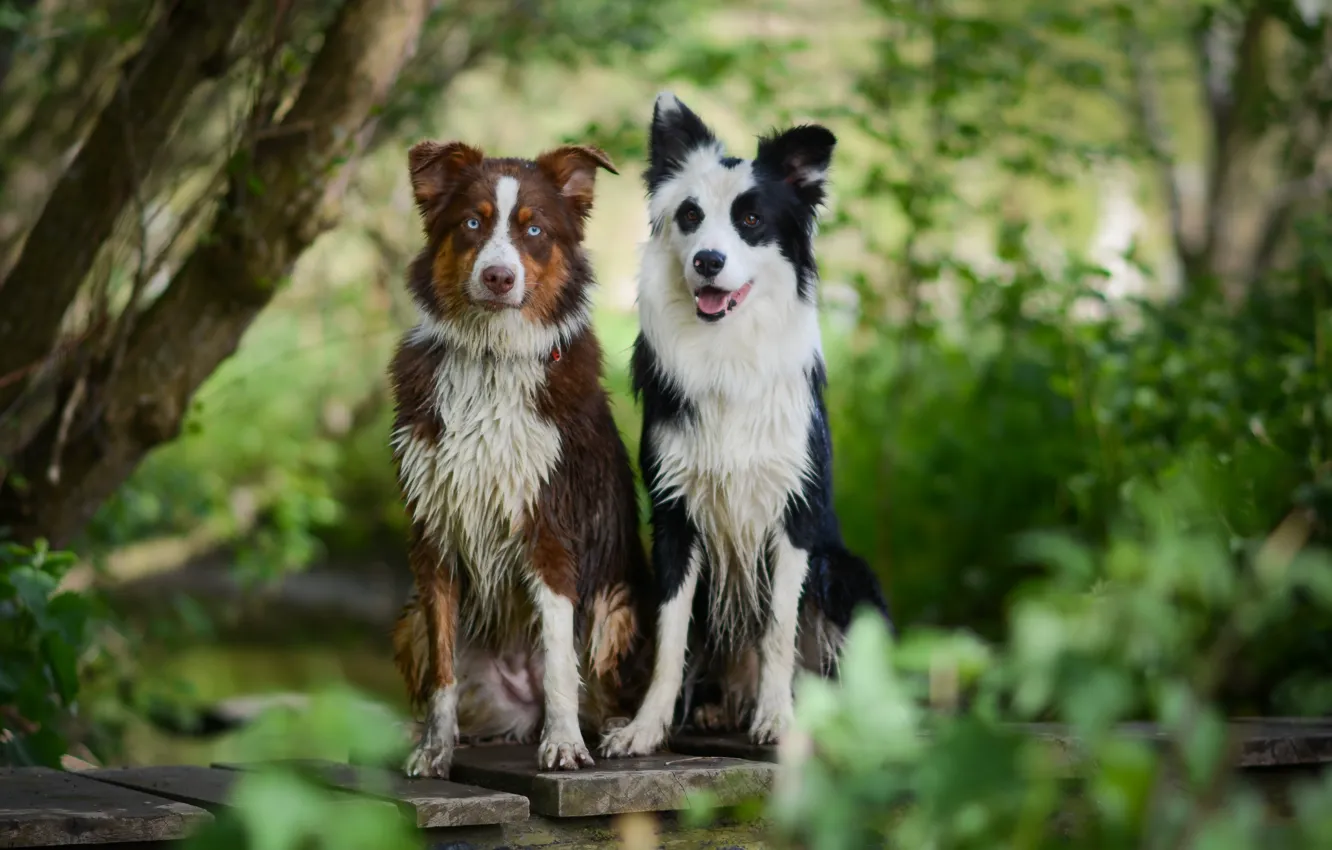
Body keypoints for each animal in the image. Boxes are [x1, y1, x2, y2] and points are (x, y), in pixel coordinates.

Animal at [388, 139, 652, 778]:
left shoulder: (549, 530)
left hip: (618, 607)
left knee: (597, 688)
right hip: (407, 621)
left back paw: (607, 728)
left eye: (534, 229)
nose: (499, 276)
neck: (491, 359)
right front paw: (434, 748)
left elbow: (558, 658)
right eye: (472, 223)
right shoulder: (434, 534)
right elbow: (443, 671)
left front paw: (563, 744)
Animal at [602, 94, 889, 756]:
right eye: (689, 215)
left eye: (751, 220)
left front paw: (777, 719)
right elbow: (671, 636)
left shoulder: (795, 515)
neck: (726, 348)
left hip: (848, 573)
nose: (708, 261)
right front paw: (646, 727)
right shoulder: (674, 517)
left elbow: (779, 629)